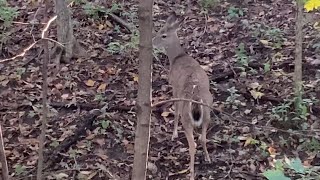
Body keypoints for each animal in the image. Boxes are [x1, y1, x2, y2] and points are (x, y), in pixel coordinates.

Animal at [152, 11, 212, 179]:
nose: (153, 42)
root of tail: (197, 99)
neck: (176, 58)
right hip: (208, 113)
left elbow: (176, 110)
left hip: (187, 118)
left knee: (193, 144)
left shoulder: (174, 87)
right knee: (203, 138)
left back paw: (191, 173)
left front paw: (173, 134)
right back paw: (208, 158)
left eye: (163, 35)